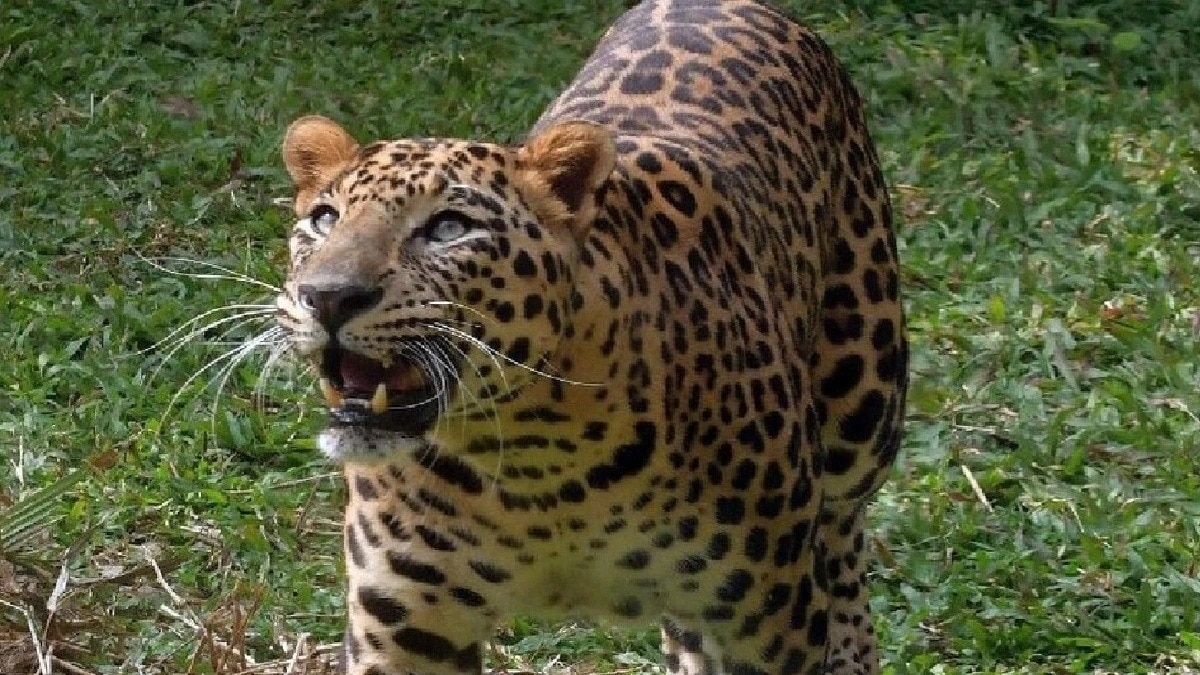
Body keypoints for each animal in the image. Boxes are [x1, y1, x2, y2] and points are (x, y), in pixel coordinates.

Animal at [273, 1, 906, 673]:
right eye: (324, 219)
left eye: (448, 228)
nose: (329, 296)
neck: (540, 463)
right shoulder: (405, 627)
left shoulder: (761, 619)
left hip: (862, 415)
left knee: (843, 545)